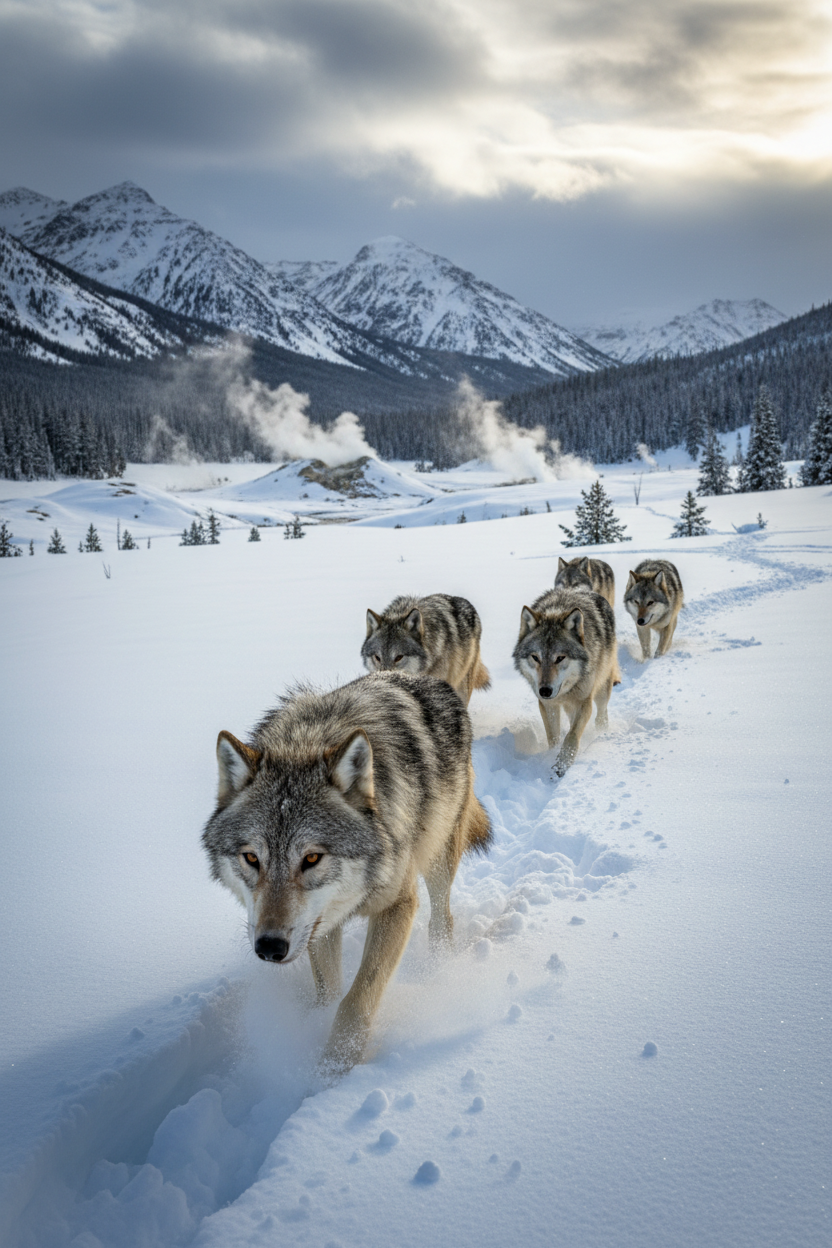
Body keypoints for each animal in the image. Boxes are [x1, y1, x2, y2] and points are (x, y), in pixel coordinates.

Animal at [202, 672, 491, 1074]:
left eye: (311, 858)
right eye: (251, 858)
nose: (270, 947)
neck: (308, 741)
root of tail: (423, 677)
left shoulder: (397, 905)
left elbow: (356, 1000)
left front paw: (335, 1070)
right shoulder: (318, 924)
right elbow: (329, 994)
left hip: (438, 854)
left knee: (442, 917)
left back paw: (438, 966)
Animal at [513, 587, 618, 776]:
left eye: (560, 658)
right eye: (536, 658)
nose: (545, 691)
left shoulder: (584, 702)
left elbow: (571, 736)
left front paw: (562, 765)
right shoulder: (547, 705)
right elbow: (553, 736)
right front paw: (552, 754)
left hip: (602, 688)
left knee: (601, 713)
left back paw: (601, 733)